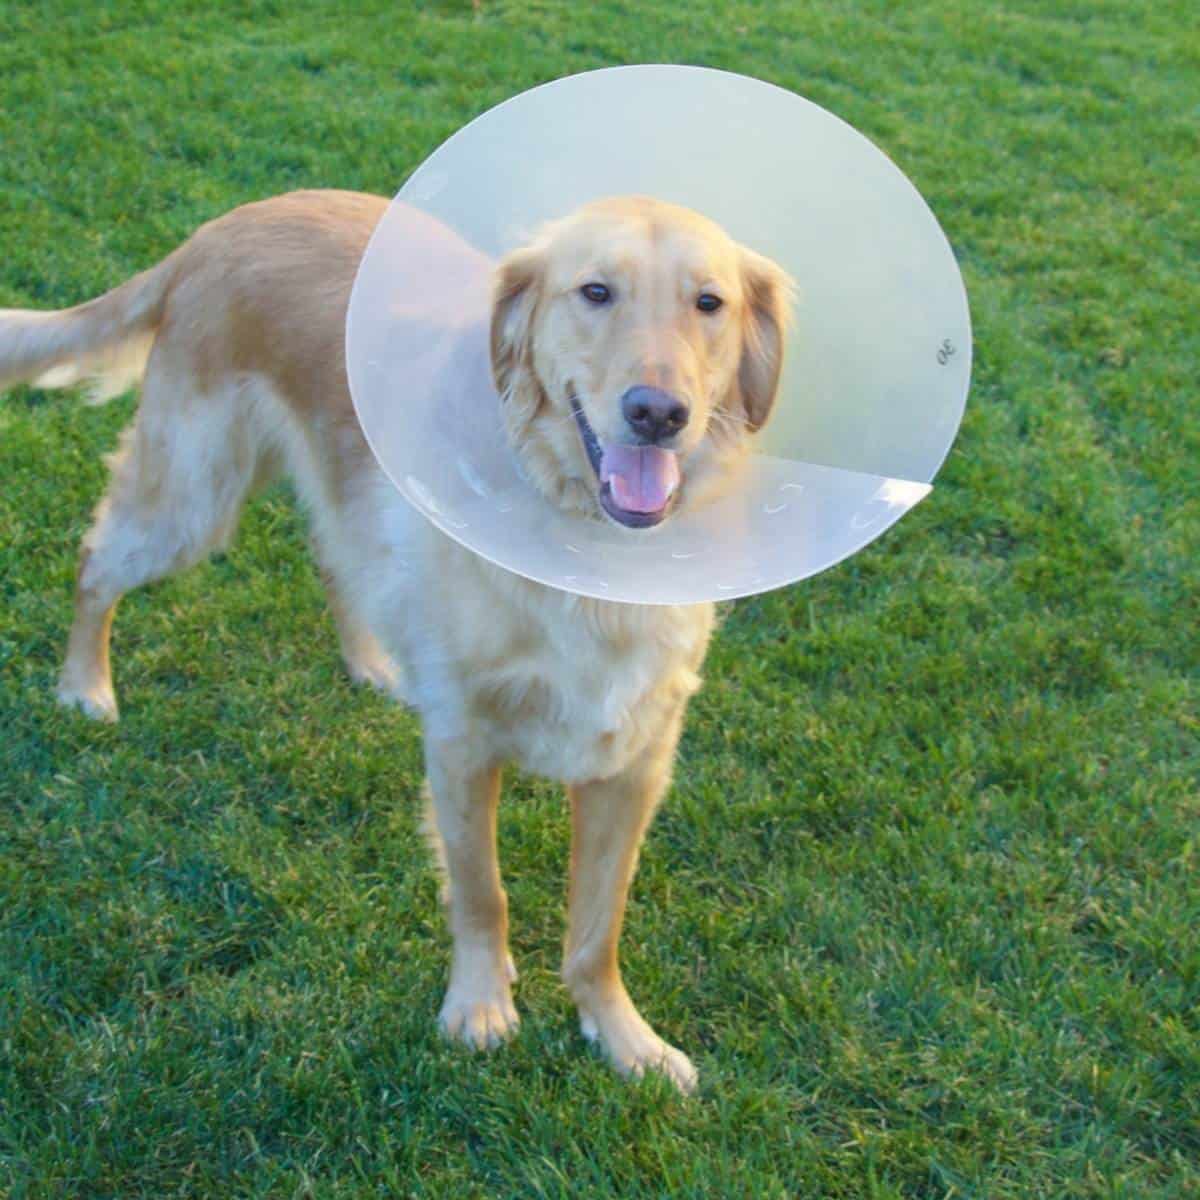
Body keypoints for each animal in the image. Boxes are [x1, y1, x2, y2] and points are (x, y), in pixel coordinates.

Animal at [0, 189, 792, 1099]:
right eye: (595, 292)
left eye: (709, 303)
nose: (656, 414)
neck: (586, 559)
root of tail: (218, 229)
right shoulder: (462, 746)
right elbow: (483, 892)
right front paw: (480, 1007)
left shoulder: (633, 763)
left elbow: (599, 928)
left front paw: (624, 1037)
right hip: (192, 495)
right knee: (97, 560)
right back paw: (84, 686)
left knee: (334, 558)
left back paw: (374, 664)